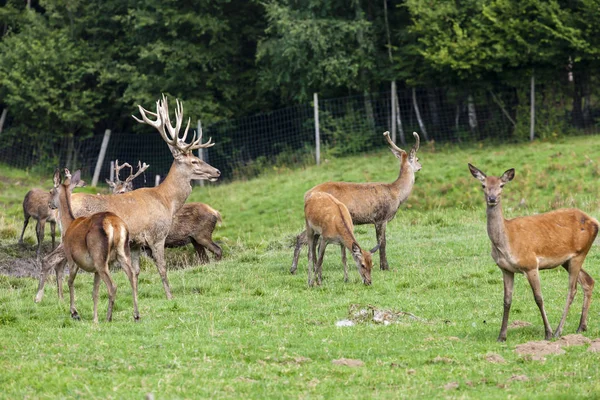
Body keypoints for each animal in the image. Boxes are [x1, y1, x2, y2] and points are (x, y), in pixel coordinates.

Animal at [34, 95, 220, 302]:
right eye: (194, 161)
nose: (217, 171)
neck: (166, 201)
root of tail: (58, 209)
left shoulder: (136, 242)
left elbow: (136, 271)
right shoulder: (157, 235)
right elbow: (162, 268)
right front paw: (170, 297)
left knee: (58, 263)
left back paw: (59, 298)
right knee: (48, 259)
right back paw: (40, 297)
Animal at [49, 168, 139, 322]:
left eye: (51, 191)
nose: (49, 204)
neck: (68, 225)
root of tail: (114, 225)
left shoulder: (71, 258)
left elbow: (70, 282)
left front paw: (74, 312)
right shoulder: (95, 269)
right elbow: (95, 291)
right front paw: (94, 318)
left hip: (99, 256)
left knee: (113, 285)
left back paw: (109, 317)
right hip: (121, 253)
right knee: (132, 276)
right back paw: (136, 314)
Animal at [290, 131, 422, 276]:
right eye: (417, 159)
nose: (420, 166)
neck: (396, 193)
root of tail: (307, 194)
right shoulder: (381, 218)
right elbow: (382, 242)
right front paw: (385, 267)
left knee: (308, 240)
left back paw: (309, 267)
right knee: (304, 238)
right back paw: (295, 268)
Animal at [472, 162, 596, 340]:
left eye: (502, 185)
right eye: (483, 185)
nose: (492, 199)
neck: (505, 243)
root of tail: (594, 221)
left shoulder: (530, 264)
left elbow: (539, 298)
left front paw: (548, 332)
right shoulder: (505, 269)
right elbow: (506, 300)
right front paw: (501, 336)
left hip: (579, 253)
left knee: (572, 290)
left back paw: (558, 330)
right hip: (567, 260)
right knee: (588, 281)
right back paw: (581, 327)